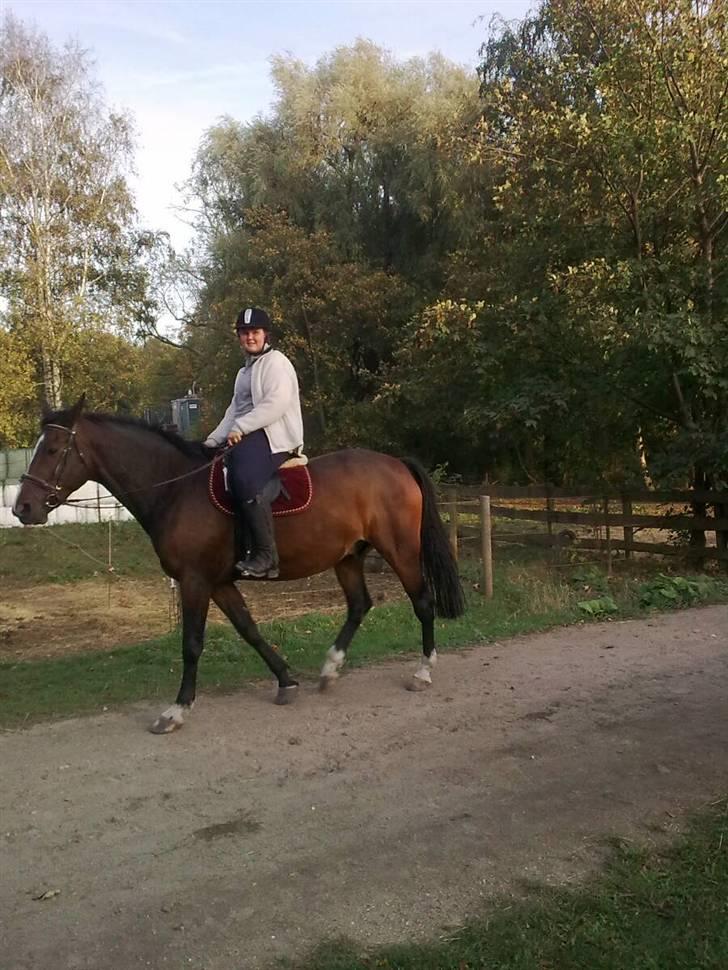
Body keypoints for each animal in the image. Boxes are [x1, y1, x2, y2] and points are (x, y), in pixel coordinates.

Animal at [11, 392, 464, 728]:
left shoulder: (195, 581)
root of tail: (395, 463)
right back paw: (330, 669)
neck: (177, 490)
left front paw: (177, 709)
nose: (23, 508)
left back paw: (422, 672)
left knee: (422, 602)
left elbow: (192, 644)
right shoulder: (220, 583)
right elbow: (250, 630)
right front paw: (286, 681)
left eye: (54, 449)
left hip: (399, 550)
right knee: (358, 606)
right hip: (348, 556)